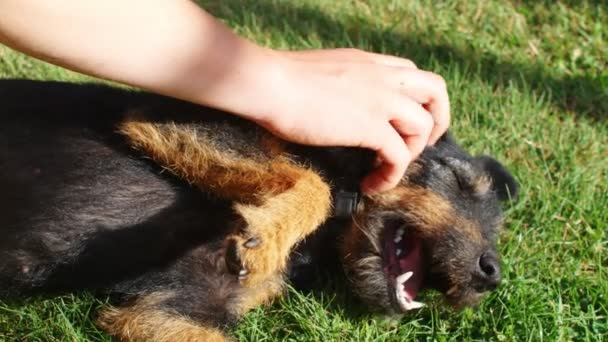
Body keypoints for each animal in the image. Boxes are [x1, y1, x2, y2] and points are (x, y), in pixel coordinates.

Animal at [0, 79, 516, 340]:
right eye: (458, 180)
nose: (492, 274)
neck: (322, 245)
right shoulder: (175, 121)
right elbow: (312, 182)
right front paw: (265, 237)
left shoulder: (170, 311)